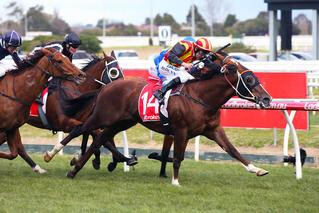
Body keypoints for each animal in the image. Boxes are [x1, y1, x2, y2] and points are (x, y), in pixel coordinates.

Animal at [48, 48, 272, 185]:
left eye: (256, 78)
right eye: (250, 80)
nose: (267, 99)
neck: (201, 97)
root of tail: (106, 87)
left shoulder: (213, 130)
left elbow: (233, 150)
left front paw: (257, 169)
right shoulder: (181, 130)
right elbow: (178, 157)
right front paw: (175, 181)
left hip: (121, 122)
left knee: (100, 139)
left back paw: (75, 169)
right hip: (104, 116)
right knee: (81, 129)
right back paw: (52, 154)